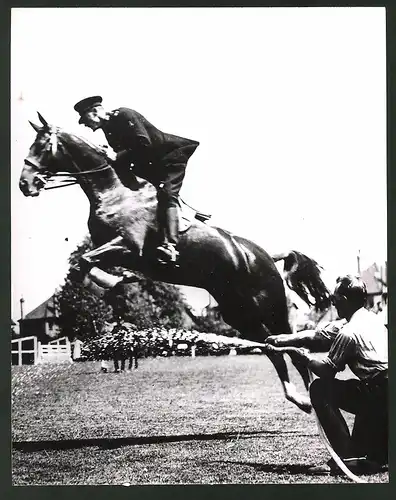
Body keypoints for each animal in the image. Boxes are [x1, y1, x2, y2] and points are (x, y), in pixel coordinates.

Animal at [20, 115, 332, 412]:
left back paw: (310, 398)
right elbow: (82, 264)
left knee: (291, 348)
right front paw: (114, 283)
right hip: (240, 315)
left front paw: (112, 283)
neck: (115, 192)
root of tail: (265, 254)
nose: (25, 184)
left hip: (270, 309)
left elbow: (85, 261)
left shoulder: (129, 246)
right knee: (274, 350)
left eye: (42, 145)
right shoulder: (111, 248)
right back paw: (301, 400)